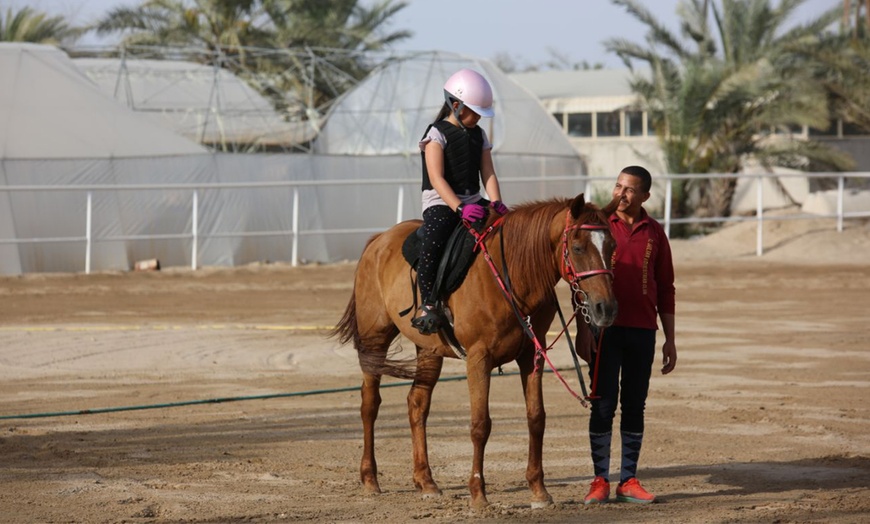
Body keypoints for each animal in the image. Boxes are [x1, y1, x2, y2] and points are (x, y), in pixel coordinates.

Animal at [332, 194, 620, 510]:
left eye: (612, 246)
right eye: (578, 248)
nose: (606, 308)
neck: (512, 276)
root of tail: (378, 241)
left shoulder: (532, 355)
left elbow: (536, 418)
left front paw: (539, 490)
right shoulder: (479, 358)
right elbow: (481, 424)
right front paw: (478, 494)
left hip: (429, 350)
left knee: (417, 404)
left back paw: (426, 481)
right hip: (375, 341)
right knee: (370, 404)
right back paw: (370, 479)